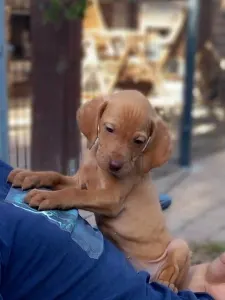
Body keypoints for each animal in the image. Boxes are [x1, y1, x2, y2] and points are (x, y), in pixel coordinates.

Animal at [9, 89, 192, 290]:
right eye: (109, 129)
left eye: (138, 141)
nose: (115, 166)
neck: (98, 166)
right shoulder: (79, 181)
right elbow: (54, 176)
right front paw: (29, 175)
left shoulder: (110, 199)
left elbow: (75, 194)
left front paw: (46, 197)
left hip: (180, 246)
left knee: (172, 271)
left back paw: (165, 283)